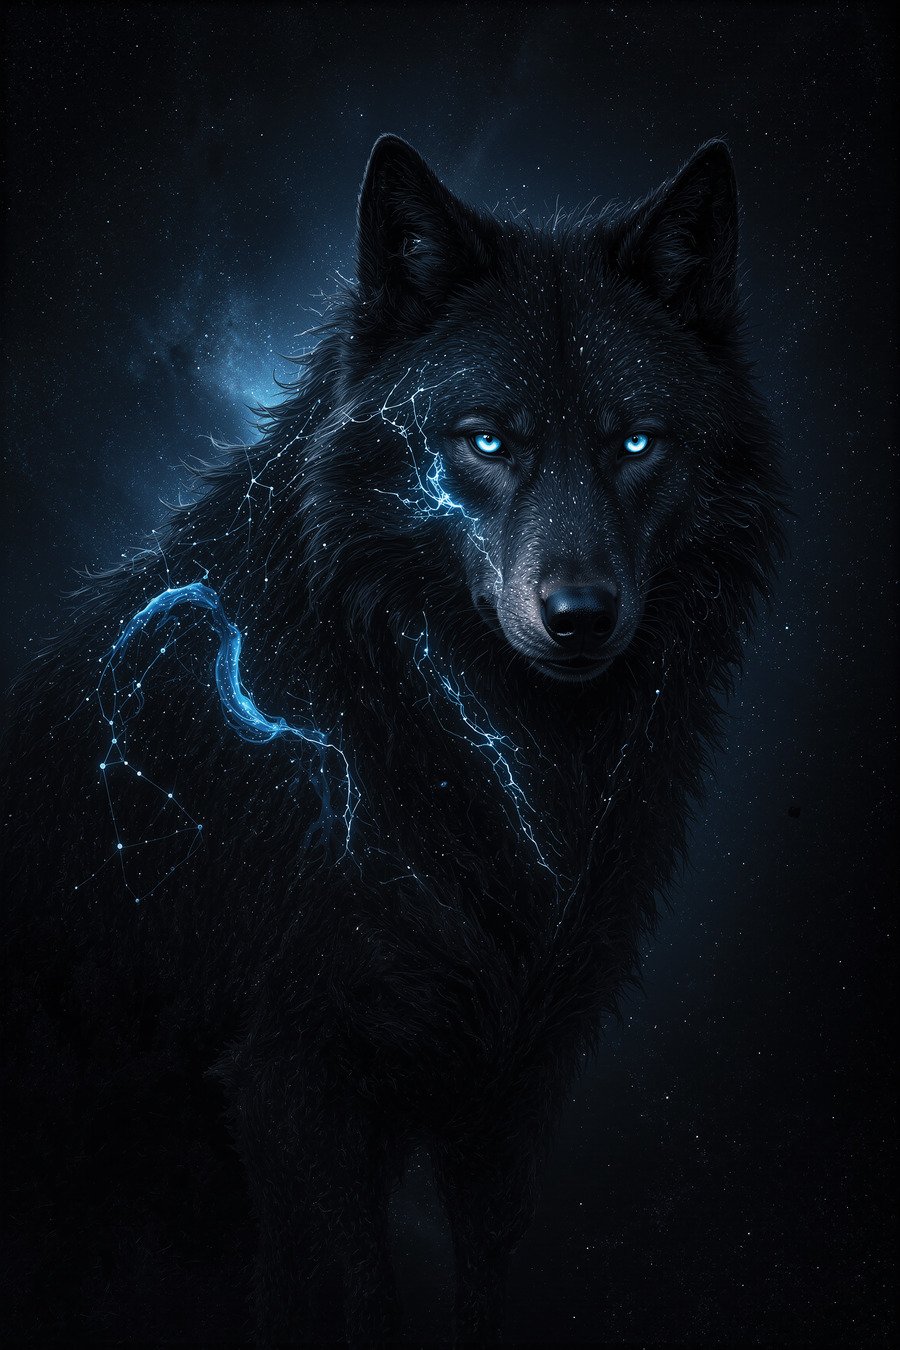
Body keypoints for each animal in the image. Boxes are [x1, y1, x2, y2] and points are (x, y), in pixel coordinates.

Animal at [2, 135, 784, 1345]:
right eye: (487, 441)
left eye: (636, 443)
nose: (580, 617)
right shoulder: (298, 1084)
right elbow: (355, 1300)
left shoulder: (515, 1089)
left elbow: (490, 1285)